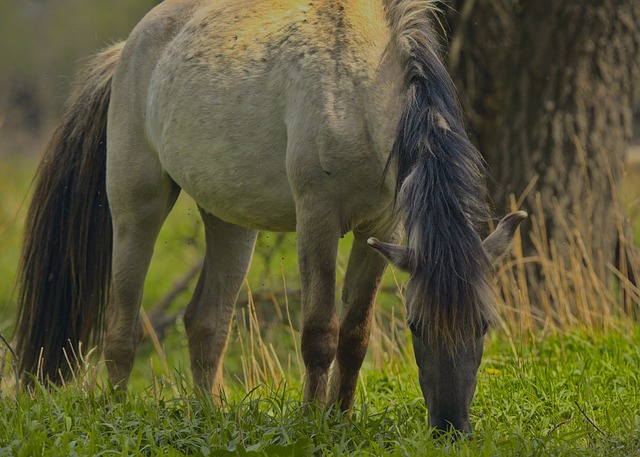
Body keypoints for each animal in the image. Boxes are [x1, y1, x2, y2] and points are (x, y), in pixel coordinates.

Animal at [15, 0, 524, 432]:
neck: (361, 88)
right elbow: (320, 332)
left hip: (230, 224)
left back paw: (211, 418)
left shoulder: (380, 231)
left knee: (206, 323)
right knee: (121, 327)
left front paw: (342, 420)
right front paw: (313, 422)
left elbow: (355, 335)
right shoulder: (318, 218)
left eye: (484, 324)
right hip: (136, 208)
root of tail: (125, 50)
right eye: (416, 326)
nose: (451, 428)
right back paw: (119, 417)